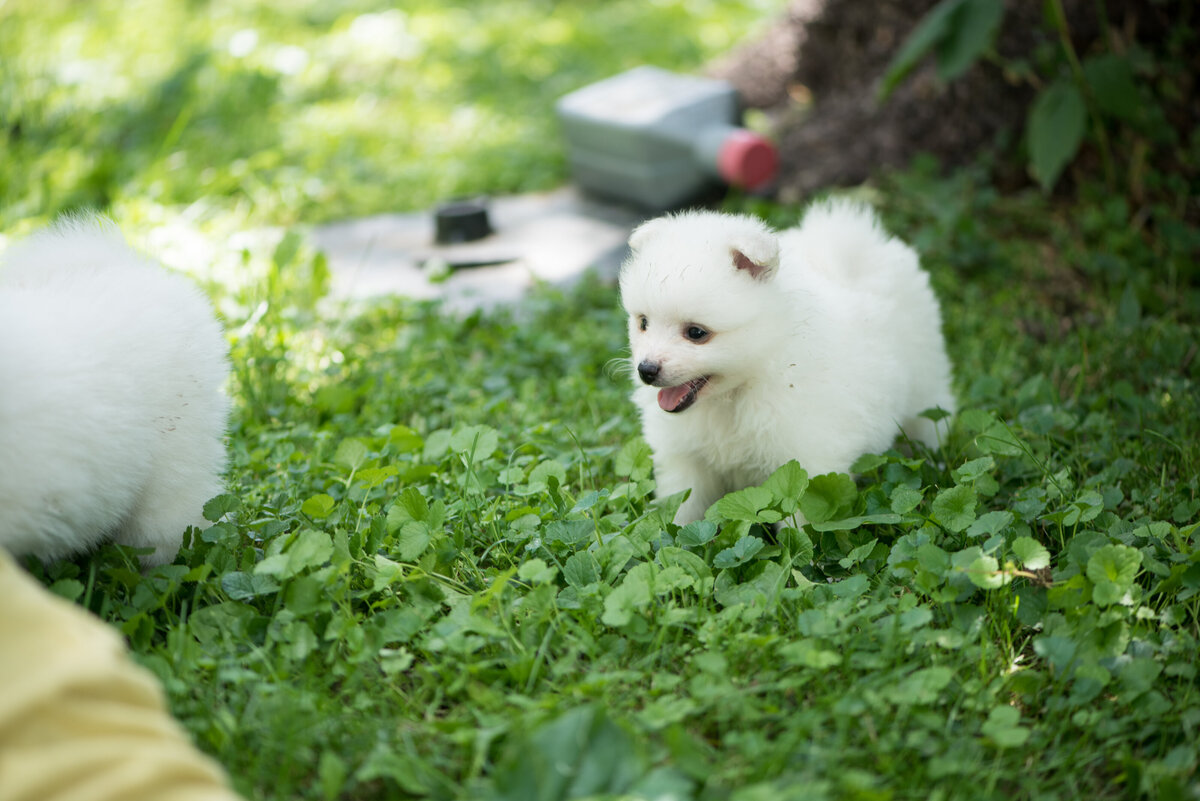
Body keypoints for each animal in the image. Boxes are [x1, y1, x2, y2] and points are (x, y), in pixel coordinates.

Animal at [619, 200, 955, 525]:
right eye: (643, 323)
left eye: (696, 333)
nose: (646, 370)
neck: (736, 393)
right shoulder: (686, 458)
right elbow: (682, 505)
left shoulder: (803, 461)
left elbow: (801, 518)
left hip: (924, 380)